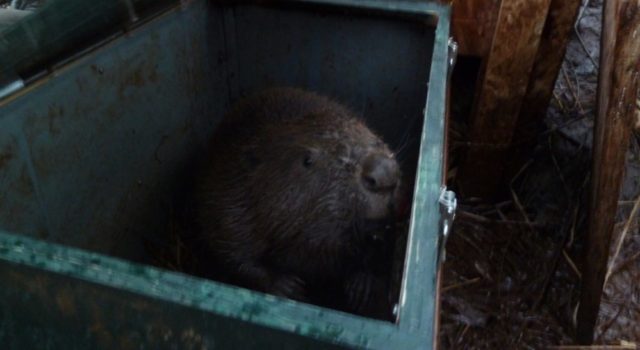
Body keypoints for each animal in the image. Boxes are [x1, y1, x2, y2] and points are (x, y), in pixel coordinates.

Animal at [188, 86, 402, 318]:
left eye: (376, 138)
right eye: (307, 160)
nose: (383, 172)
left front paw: (361, 284)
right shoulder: (227, 196)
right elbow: (232, 252)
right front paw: (289, 287)